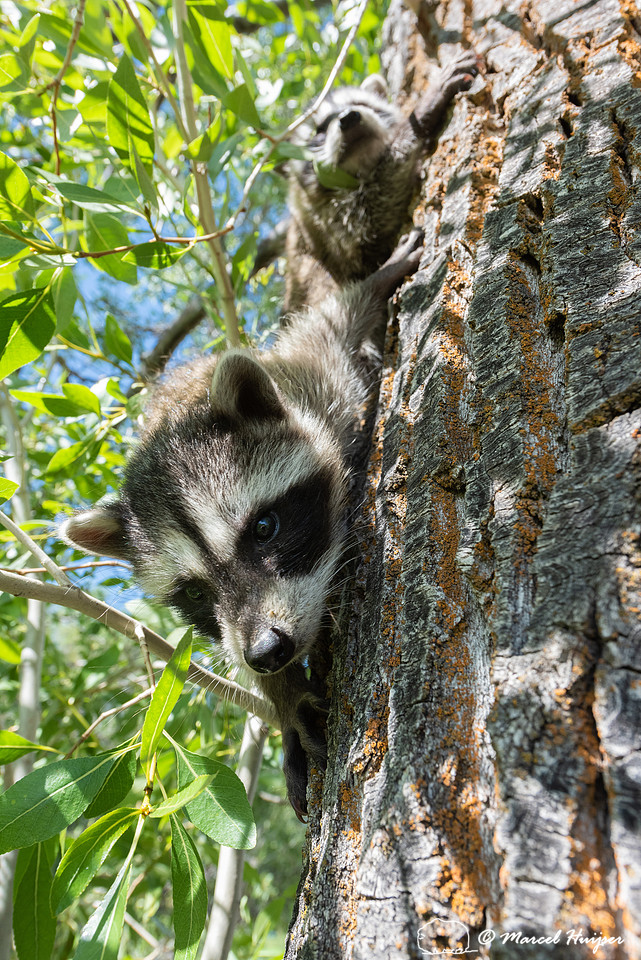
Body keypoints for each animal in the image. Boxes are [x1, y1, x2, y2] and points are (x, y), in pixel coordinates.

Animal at [60, 231, 423, 819]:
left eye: (265, 528)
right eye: (194, 592)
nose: (267, 652)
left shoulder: (313, 383)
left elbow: (330, 326)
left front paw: (373, 283)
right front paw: (282, 695)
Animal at [263, 52, 479, 312]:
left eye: (361, 105)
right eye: (320, 130)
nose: (349, 118)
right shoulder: (323, 224)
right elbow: (370, 224)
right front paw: (422, 110)